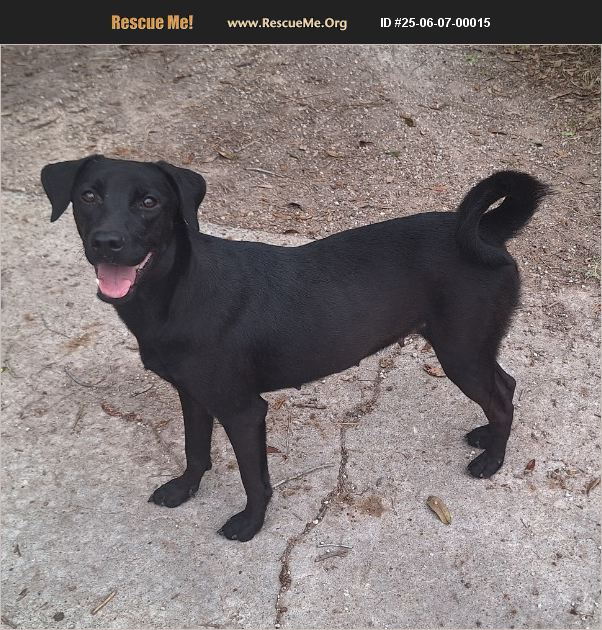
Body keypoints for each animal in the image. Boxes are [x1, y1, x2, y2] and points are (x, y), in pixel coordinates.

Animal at [41, 156, 548, 541]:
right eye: (88, 196)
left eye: (150, 202)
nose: (107, 242)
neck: (178, 289)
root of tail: (487, 231)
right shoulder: (193, 396)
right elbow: (195, 450)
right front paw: (184, 490)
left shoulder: (243, 410)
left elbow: (254, 478)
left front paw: (250, 523)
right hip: (470, 348)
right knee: (506, 384)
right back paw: (486, 437)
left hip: (460, 350)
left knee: (501, 396)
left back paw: (492, 459)